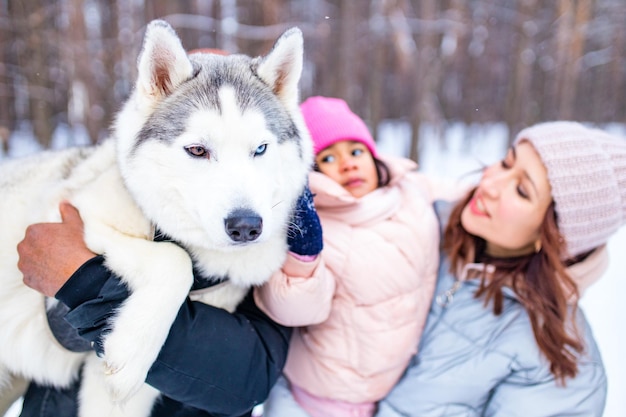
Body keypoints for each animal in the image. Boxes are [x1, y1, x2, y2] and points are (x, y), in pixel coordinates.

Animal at [0, 19, 310, 416]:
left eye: (260, 148)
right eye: (197, 150)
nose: (246, 226)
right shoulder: (61, 220)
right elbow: (174, 259)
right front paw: (131, 353)